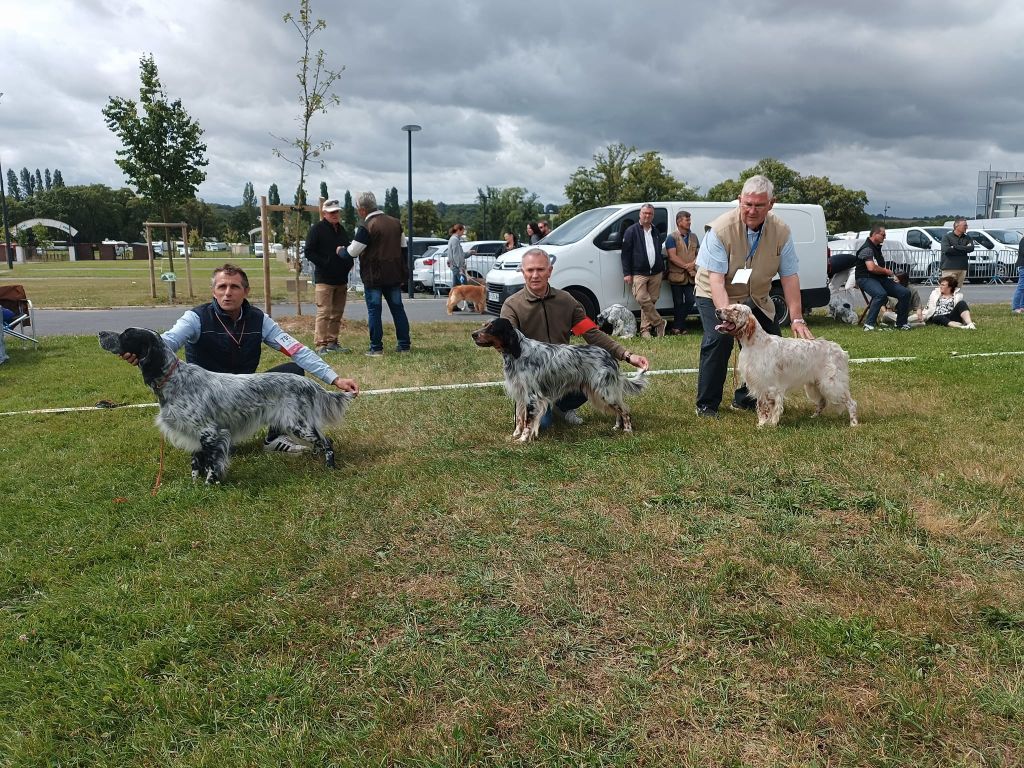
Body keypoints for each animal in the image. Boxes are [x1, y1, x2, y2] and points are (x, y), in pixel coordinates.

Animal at [99, 327, 354, 483]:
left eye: (126, 334)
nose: (101, 333)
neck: (174, 379)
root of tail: (309, 382)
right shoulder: (194, 434)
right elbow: (196, 462)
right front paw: (194, 485)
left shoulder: (211, 432)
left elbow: (212, 463)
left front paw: (209, 485)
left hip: (297, 423)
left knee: (327, 442)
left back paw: (330, 466)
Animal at [471, 315, 647, 442]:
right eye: (484, 324)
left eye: (492, 327)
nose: (473, 334)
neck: (517, 353)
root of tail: (611, 357)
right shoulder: (520, 394)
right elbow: (520, 419)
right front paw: (515, 435)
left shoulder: (531, 396)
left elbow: (528, 421)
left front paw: (522, 439)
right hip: (603, 392)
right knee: (619, 409)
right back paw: (617, 427)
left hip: (605, 391)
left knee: (625, 410)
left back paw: (627, 430)